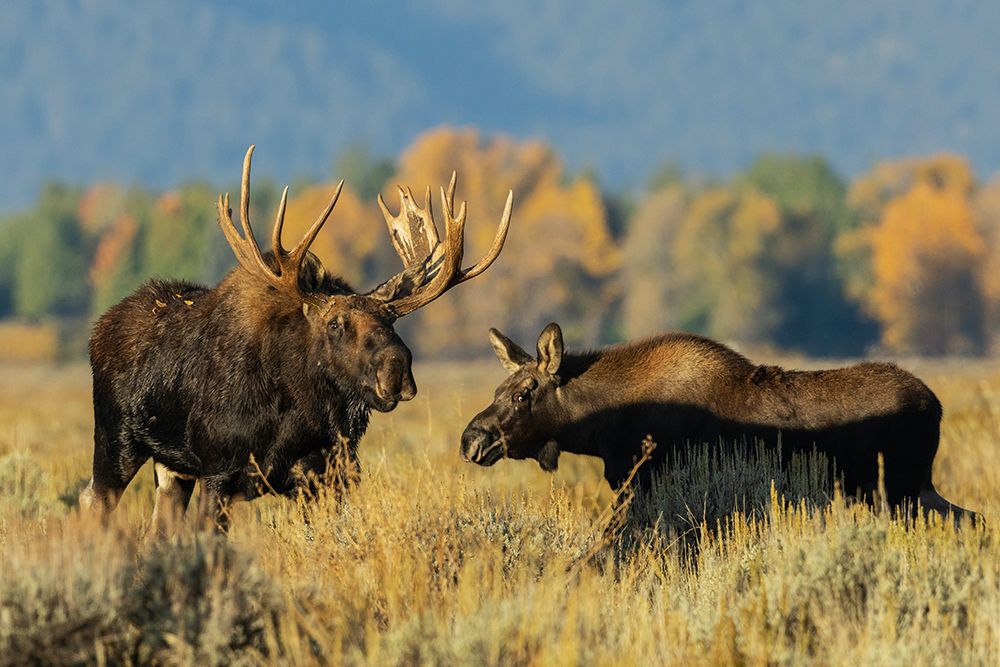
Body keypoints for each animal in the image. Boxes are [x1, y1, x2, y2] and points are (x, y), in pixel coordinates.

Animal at [80, 145, 513, 533]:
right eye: (335, 324)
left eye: (393, 320)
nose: (396, 371)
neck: (298, 410)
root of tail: (100, 328)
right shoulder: (218, 471)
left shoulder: (330, 476)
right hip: (117, 441)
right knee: (93, 500)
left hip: (172, 467)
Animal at [461, 323, 977, 522]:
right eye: (496, 391)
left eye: (524, 393)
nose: (471, 439)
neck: (600, 430)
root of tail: (936, 406)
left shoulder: (646, 484)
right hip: (913, 489)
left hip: (902, 490)